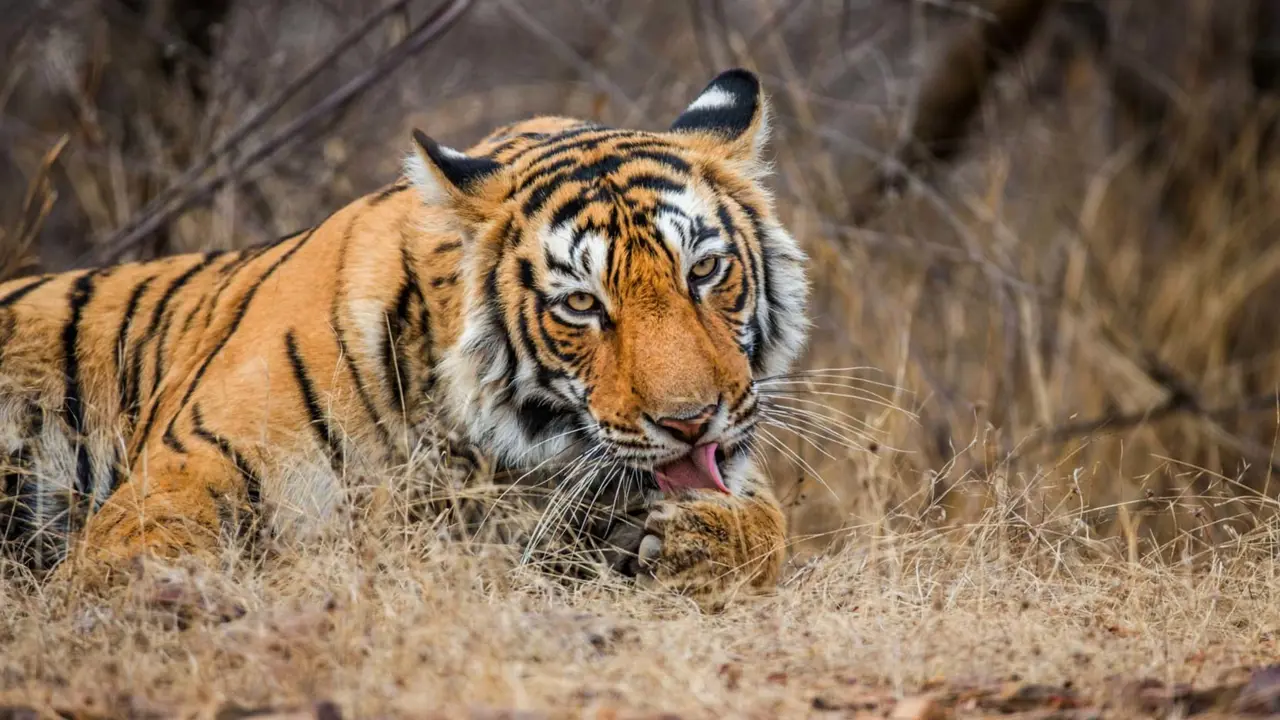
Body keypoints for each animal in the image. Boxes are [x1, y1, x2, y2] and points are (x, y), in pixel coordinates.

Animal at [0, 68, 808, 604]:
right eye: (581, 304)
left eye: (704, 270)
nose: (691, 422)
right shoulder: (186, 467)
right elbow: (137, 555)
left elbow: (767, 522)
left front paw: (697, 540)